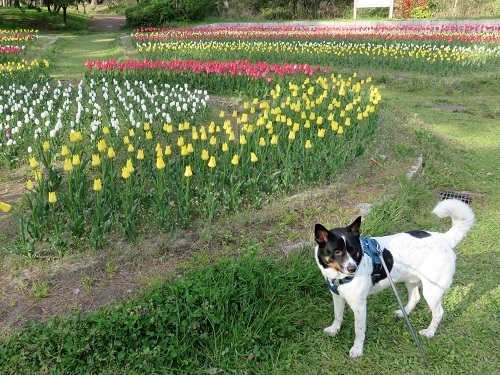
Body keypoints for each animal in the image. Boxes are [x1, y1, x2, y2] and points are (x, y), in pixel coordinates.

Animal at [314, 200, 474, 358]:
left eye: (354, 250)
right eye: (337, 251)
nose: (353, 269)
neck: (338, 277)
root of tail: (444, 238)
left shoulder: (359, 306)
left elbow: (358, 330)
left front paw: (357, 349)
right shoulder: (337, 296)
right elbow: (338, 315)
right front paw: (334, 330)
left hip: (432, 291)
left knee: (439, 312)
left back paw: (429, 332)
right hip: (411, 280)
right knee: (415, 297)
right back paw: (404, 313)